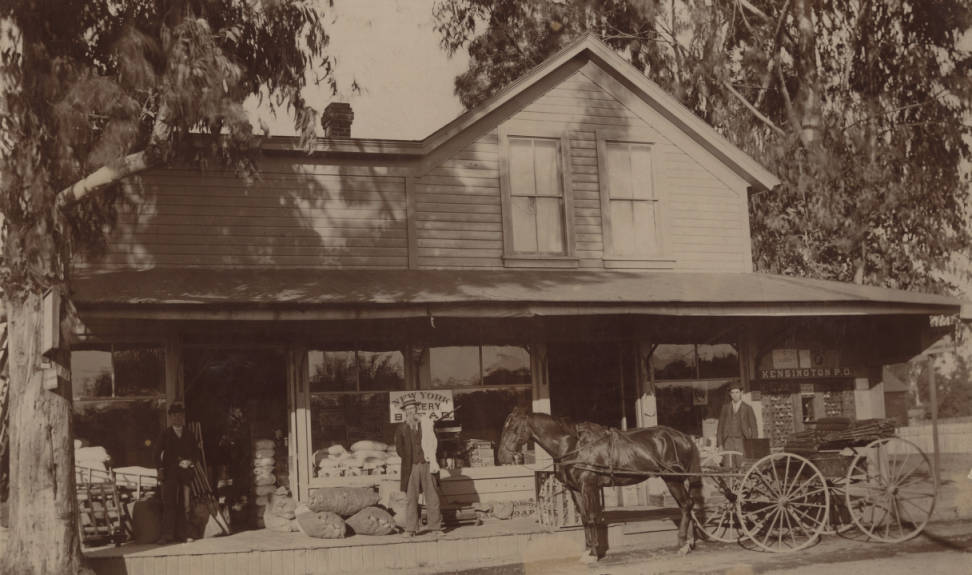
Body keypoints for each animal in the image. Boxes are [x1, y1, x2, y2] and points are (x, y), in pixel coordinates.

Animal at [498, 408, 704, 564]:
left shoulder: (588, 486)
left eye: (514, 428)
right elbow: (584, 519)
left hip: (673, 479)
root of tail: (684, 437)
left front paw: (594, 554)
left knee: (686, 505)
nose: (502, 457)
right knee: (686, 505)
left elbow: (592, 518)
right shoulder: (576, 489)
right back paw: (688, 542)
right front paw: (588, 550)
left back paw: (683, 544)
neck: (573, 446)